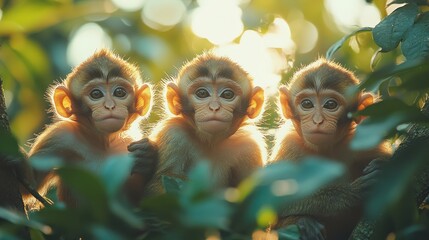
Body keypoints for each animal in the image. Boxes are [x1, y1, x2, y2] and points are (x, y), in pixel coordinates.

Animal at [23, 48, 155, 208]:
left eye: (119, 92)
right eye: (96, 94)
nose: (110, 106)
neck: (103, 142)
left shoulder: (130, 140)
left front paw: (147, 158)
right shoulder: (59, 137)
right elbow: (29, 186)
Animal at [140, 52, 268, 195]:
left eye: (227, 94)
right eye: (202, 93)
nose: (214, 107)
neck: (210, 143)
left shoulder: (249, 146)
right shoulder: (174, 134)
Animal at [270, 58, 392, 240]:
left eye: (330, 104)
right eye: (307, 104)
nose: (317, 120)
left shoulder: (365, 140)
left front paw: (383, 165)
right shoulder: (289, 145)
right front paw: (350, 193)